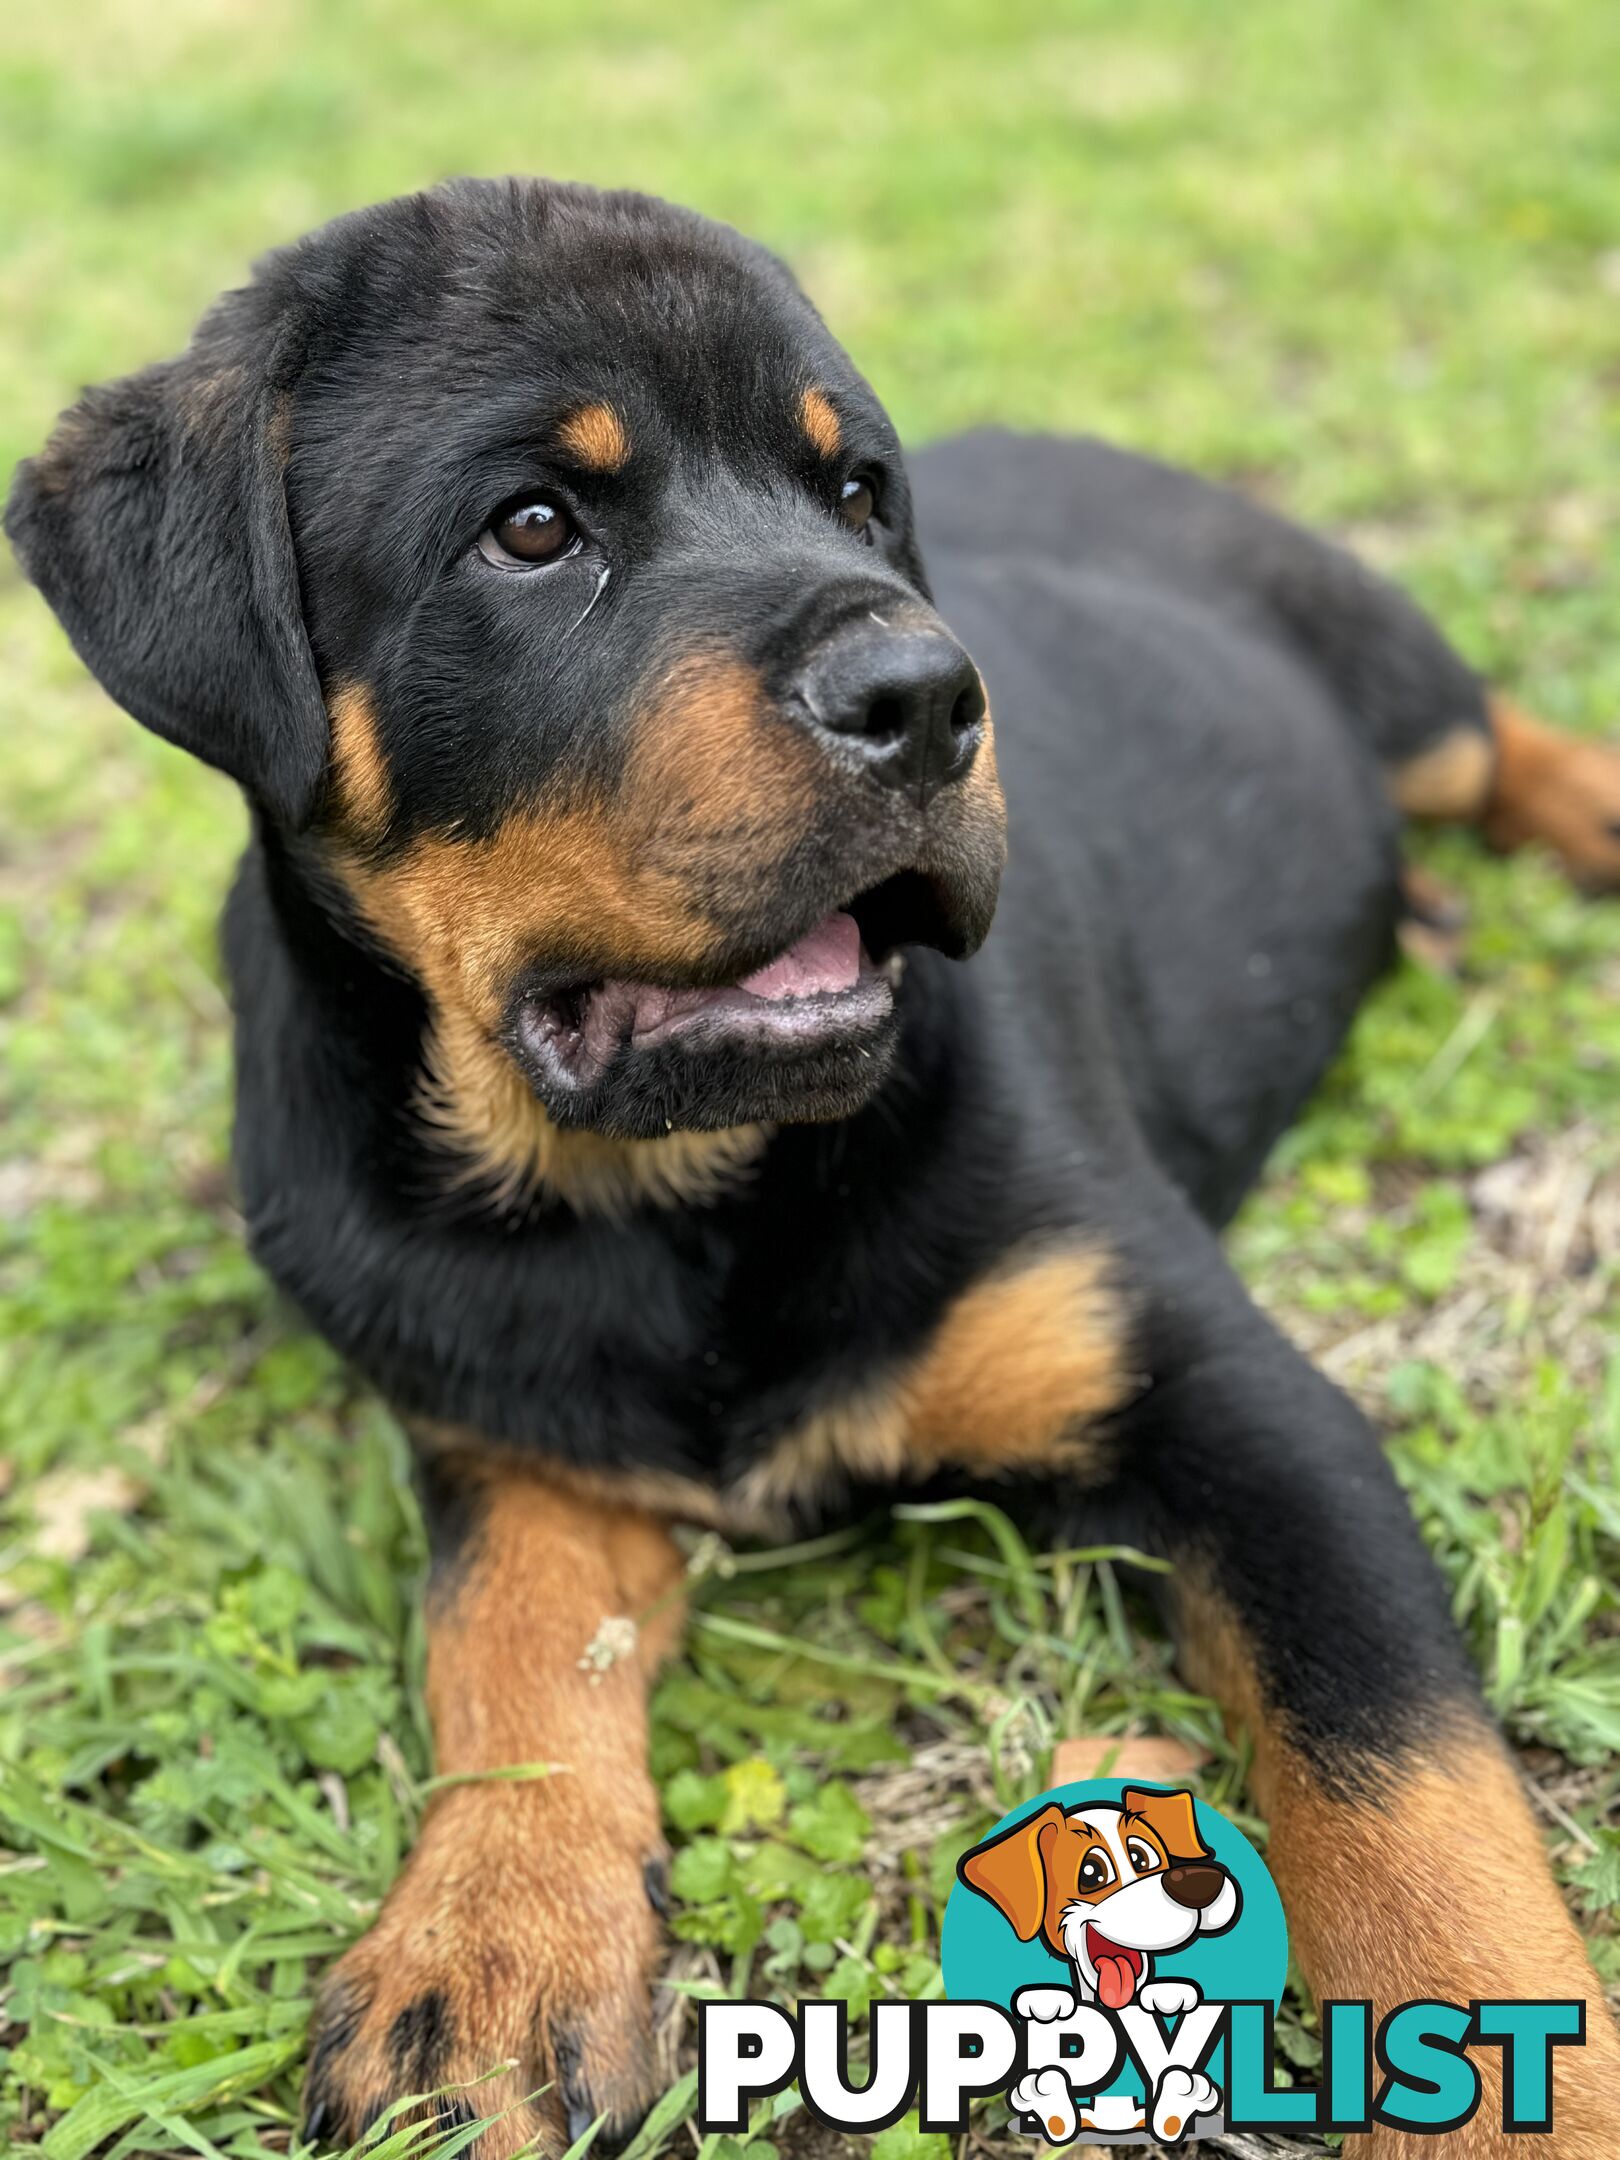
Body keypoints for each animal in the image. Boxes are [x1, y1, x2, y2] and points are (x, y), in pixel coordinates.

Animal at [9, 177, 1620, 2151]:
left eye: (858, 492)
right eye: (530, 528)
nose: (928, 695)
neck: (660, 1188)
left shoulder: (1236, 1401)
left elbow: (1398, 1773)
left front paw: (1524, 2080)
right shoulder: (514, 1441)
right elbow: (507, 1645)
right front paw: (490, 1944)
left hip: (1394, 680)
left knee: (1497, 737)